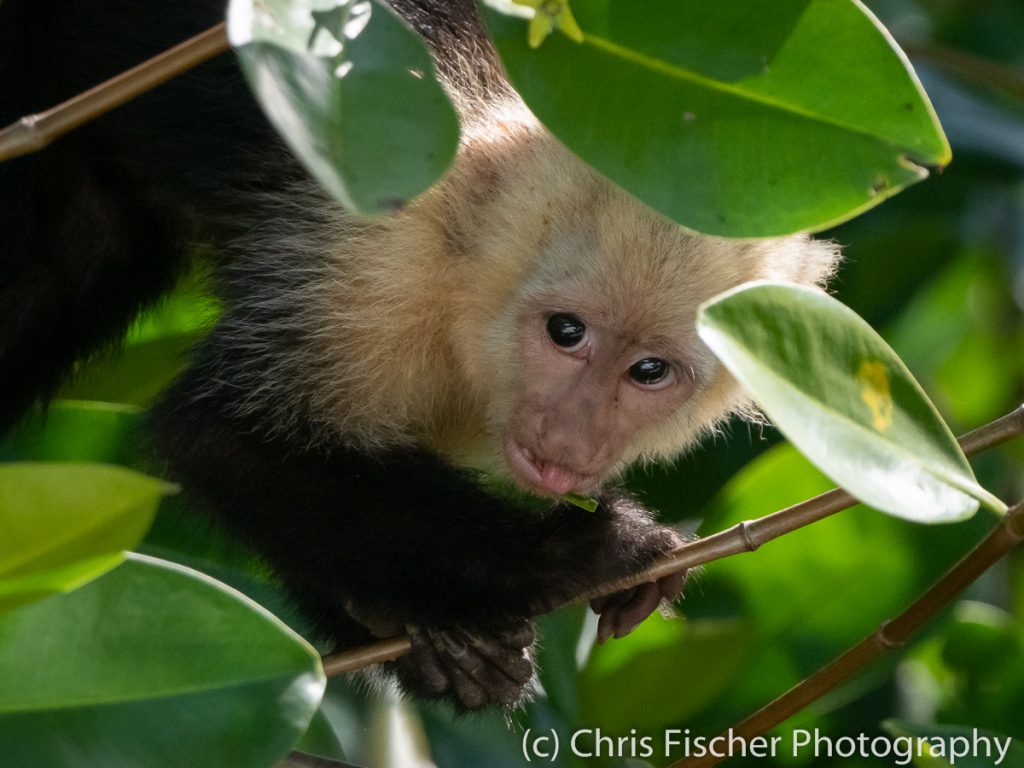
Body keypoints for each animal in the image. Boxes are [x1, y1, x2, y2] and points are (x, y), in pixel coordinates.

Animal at [0, 0, 839, 708]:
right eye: (566, 333)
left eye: (650, 371)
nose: (570, 438)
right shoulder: (377, 257)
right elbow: (220, 438)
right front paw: (577, 554)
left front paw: (409, 630)